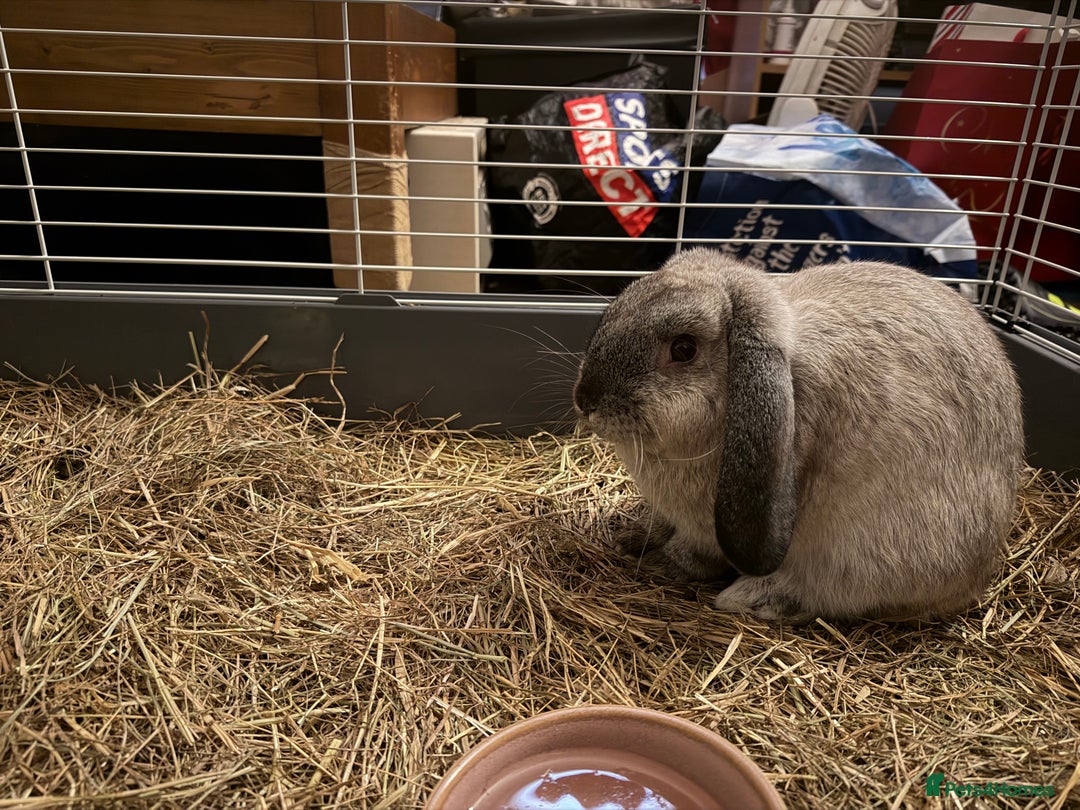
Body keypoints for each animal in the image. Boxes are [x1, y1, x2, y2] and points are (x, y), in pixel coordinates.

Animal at [573, 247, 1024, 622]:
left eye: (684, 349)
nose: (585, 400)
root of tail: (976, 580)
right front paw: (628, 536)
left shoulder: (709, 530)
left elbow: (692, 553)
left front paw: (660, 563)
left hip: (866, 555)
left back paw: (758, 598)